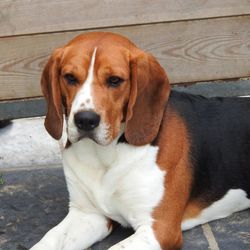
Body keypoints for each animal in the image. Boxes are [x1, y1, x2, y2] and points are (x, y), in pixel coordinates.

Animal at [31, 32, 250, 249]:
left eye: (115, 80)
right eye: (69, 77)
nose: (85, 120)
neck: (105, 155)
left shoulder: (160, 229)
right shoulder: (87, 215)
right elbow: (47, 241)